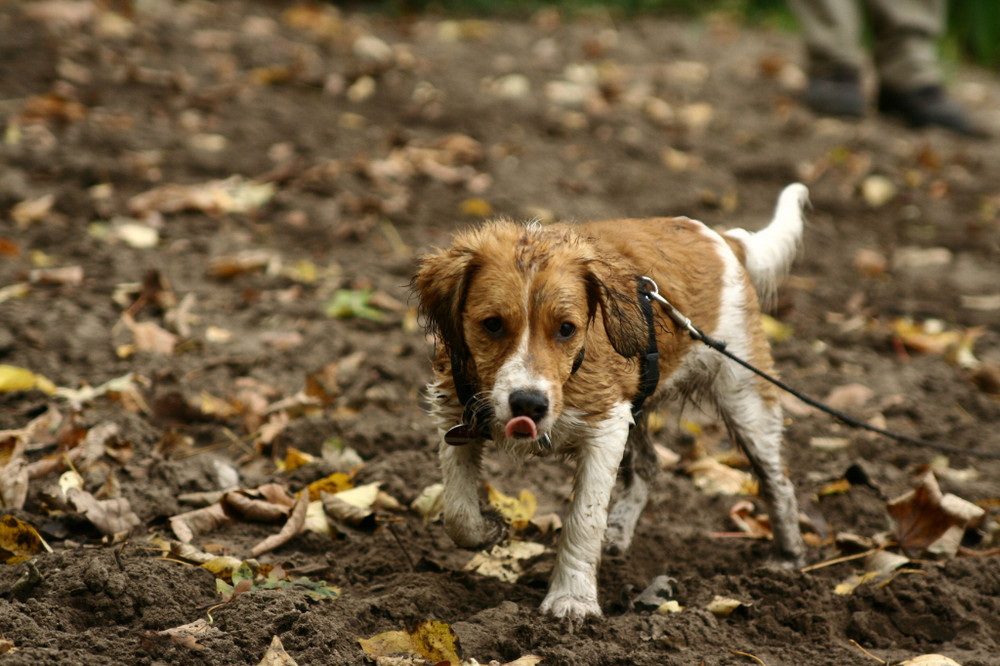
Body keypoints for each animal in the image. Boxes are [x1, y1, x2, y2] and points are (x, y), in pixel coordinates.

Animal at [414, 180, 812, 616]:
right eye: (492, 324)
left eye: (566, 329)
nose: (529, 405)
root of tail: (721, 239)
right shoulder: (453, 412)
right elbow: (457, 513)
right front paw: (490, 529)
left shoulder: (606, 422)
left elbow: (583, 519)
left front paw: (571, 598)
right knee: (650, 465)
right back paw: (619, 530)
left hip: (745, 395)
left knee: (777, 480)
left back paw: (789, 559)